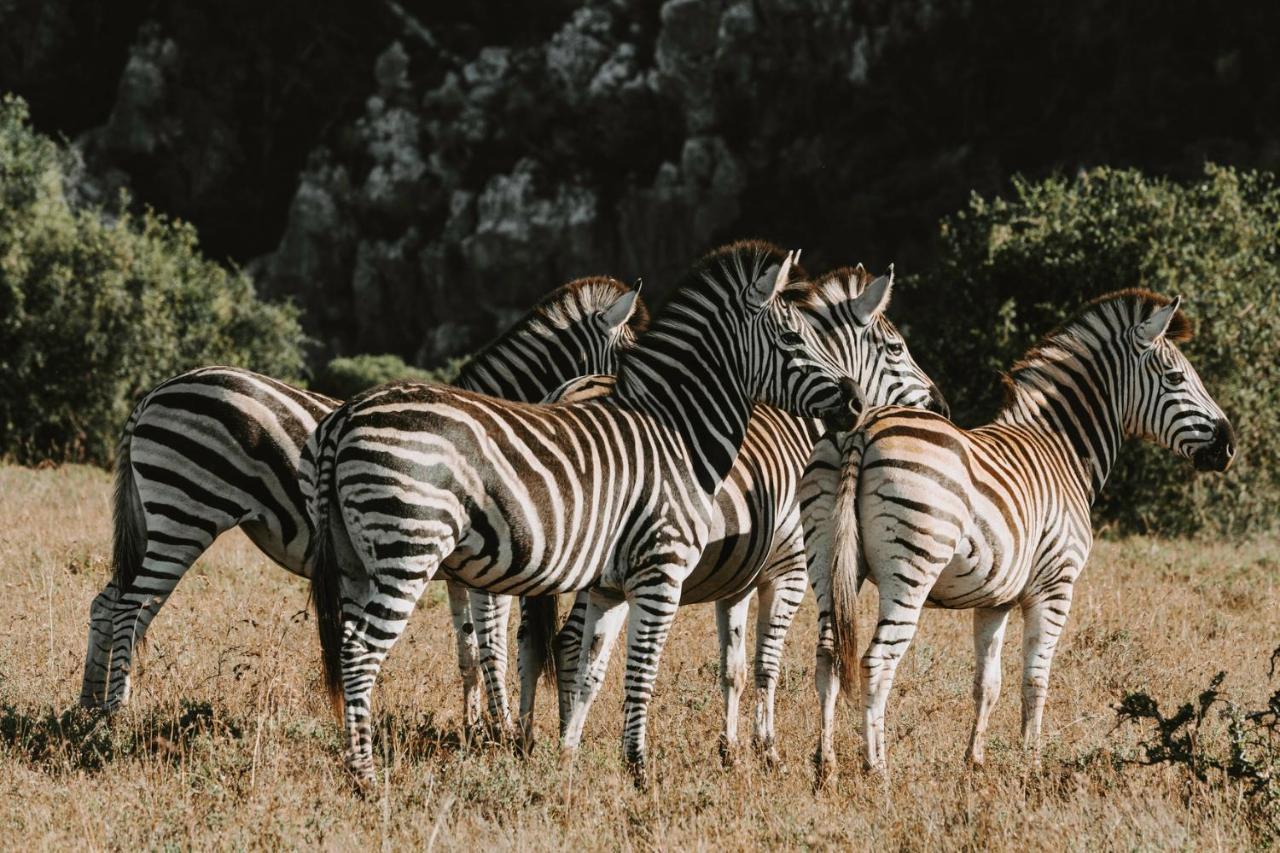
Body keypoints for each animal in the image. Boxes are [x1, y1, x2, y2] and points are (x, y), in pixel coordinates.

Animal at [74, 274, 645, 717]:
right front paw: (499, 728)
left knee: (108, 602)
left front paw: (471, 723)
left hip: (159, 514)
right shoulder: (492, 568)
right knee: (131, 608)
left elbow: (466, 650)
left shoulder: (461, 572)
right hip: (185, 512)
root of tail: (153, 392)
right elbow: (492, 649)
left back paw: (87, 707)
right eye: (631, 356)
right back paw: (116, 711)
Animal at [304, 239, 865, 783]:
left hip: (357, 562)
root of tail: (347, 414)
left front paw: (570, 761)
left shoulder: (608, 585)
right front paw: (639, 772)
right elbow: (641, 672)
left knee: (348, 646)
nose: (857, 402)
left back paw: (356, 767)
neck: (677, 434)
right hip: (408, 551)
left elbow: (589, 666)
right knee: (362, 654)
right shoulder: (660, 571)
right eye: (792, 339)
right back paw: (365, 777)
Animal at [540, 262, 952, 758]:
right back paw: (556, 740)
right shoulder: (790, 569)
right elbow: (766, 663)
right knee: (566, 644)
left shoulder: (737, 579)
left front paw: (730, 749)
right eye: (896, 348)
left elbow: (732, 668)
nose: (943, 407)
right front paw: (767, 749)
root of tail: (566, 392)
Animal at [803, 289, 1233, 773]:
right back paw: (877, 769)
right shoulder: (1055, 586)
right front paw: (1033, 761)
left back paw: (826, 765)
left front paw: (974, 761)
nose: (1228, 445)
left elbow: (987, 683)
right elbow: (1036, 678)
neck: (1063, 448)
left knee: (828, 656)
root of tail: (863, 427)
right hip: (912, 566)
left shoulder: (996, 600)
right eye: (1176, 377)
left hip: (828, 560)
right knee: (877, 662)